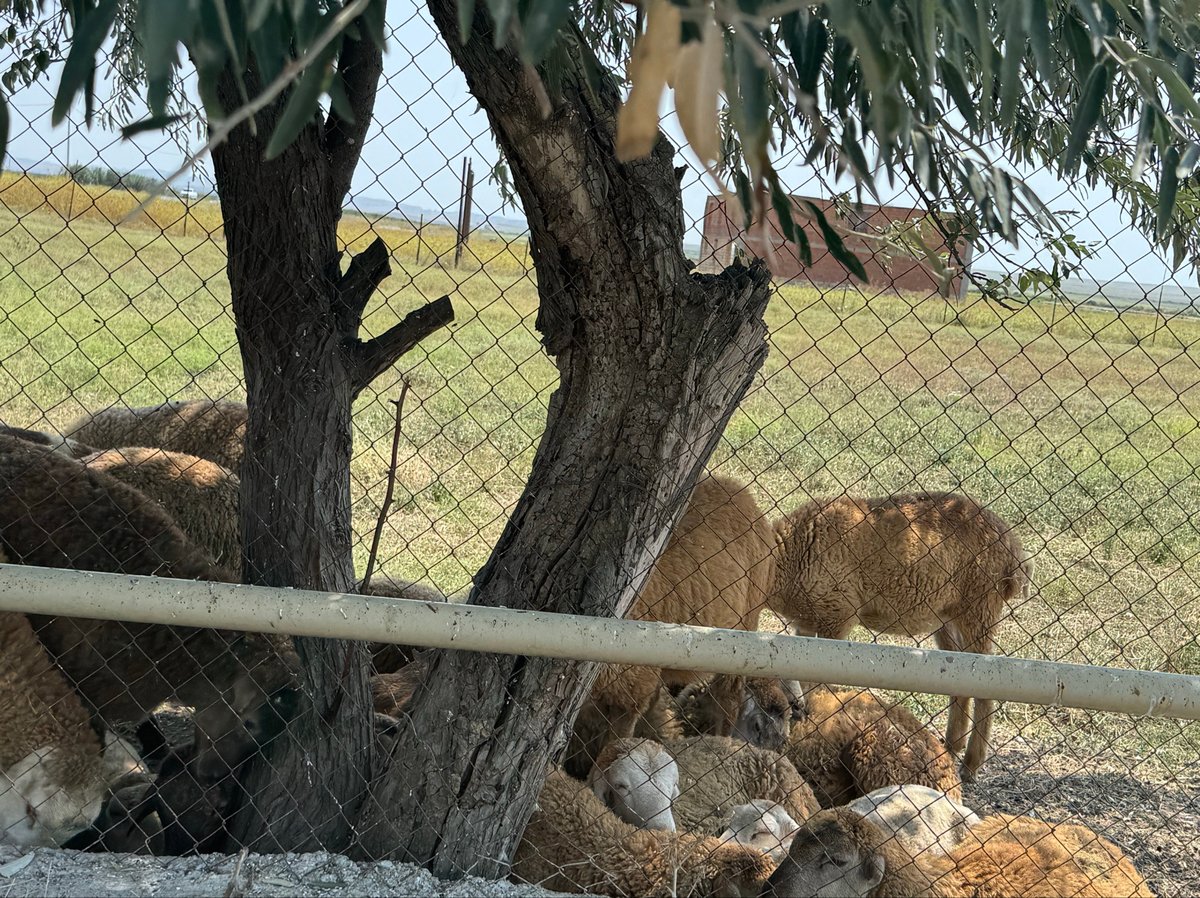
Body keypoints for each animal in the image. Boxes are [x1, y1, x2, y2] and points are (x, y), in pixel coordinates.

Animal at [769, 493, 1032, 781]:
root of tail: (1014, 550)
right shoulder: (805, 625)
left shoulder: (837, 615)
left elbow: (820, 685)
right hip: (947, 617)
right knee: (961, 678)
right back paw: (952, 746)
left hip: (980, 607)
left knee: (986, 684)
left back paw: (971, 764)